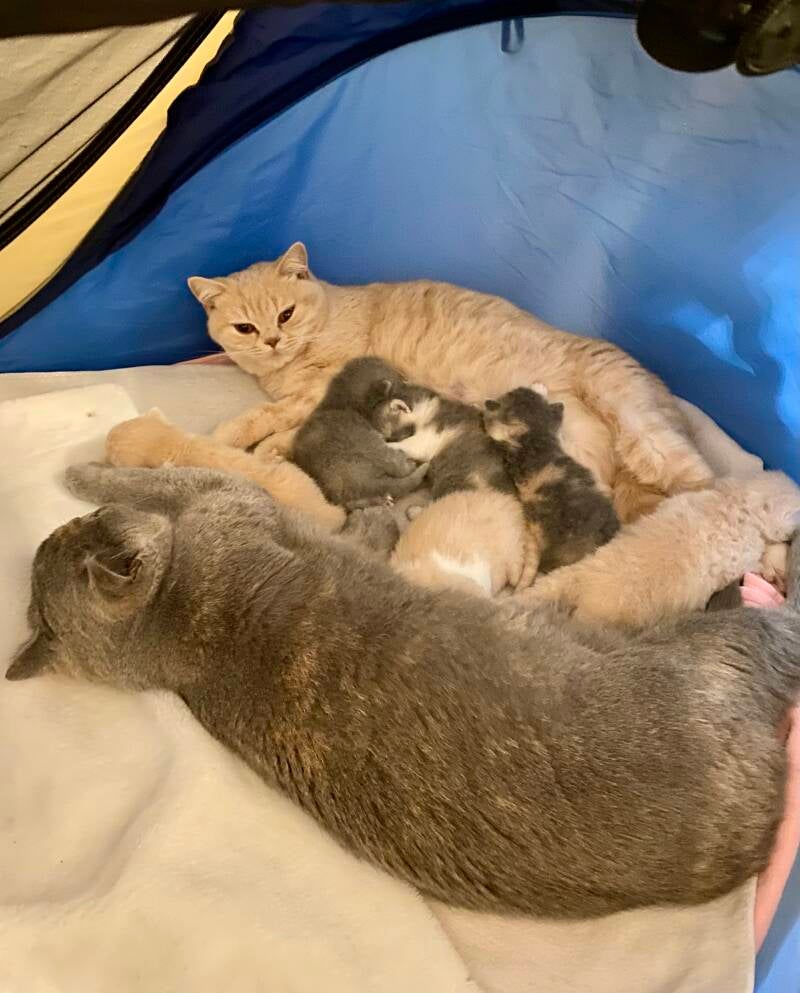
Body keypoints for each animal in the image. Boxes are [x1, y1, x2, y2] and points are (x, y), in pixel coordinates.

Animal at [290, 357, 429, 509]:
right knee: (397, 465)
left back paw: (382, 499)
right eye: (399, 383)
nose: (406, 381)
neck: (341, 404)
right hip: (373, 447)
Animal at [483, 385, 620, 582]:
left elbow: (493, 428)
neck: (527, 441)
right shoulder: (554, 433)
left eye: (511, 393)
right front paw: (540, 386)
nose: (515, 389)